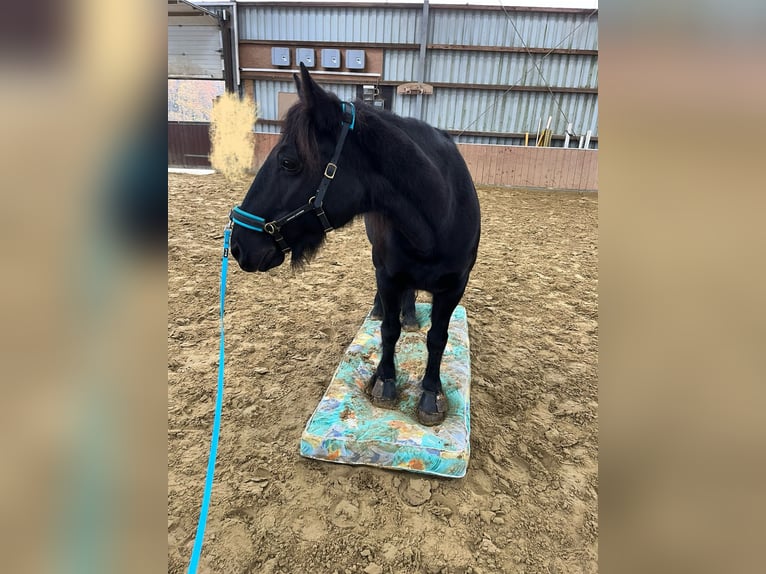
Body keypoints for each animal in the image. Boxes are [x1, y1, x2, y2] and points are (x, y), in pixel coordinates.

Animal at [229, 64, 480, 425]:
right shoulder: (387, 275)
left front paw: (431, 394)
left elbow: (437, 339)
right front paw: (386, 382)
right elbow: (389, 330)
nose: (238, 244)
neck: (439, 215)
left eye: (288, 162)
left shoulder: (454, 287)